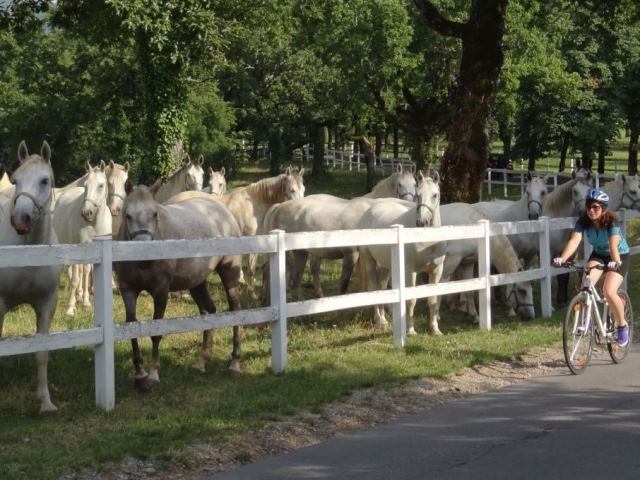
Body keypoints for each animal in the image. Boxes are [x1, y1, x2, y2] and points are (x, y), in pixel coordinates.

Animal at [53, 163, 112, 316]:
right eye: (85, 185)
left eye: (101, 185)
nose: (87, 212)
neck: (94, 223)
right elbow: (75, 279)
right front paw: (70, 308)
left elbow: (87, 273)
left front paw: (86, 302)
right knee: (71, 270)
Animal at [114, 186, 244, 388]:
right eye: (128, 215)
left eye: (154, 214)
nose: (145, 254)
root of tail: (222, 210)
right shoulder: (127, 290)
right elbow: (131, 327)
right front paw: (139, 372)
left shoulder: (161, 292)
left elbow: (156, 333)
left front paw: (153, 374)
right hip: (197, 282)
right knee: (209, 310)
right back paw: (202, 362)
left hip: (229, 273)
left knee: (235, 310)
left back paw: (235, 364)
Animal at [356, 172, 444, 334]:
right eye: (418, 194)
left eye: (435, 195)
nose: (421, 222)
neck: (427, 241)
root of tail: (371, 209)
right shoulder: (411, 271)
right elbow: (411, 301)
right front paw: (410, 330)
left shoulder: (436, 271)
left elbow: (433, 300)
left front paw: (435, 329)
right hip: (369, 260)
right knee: (373, 287)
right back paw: (378, 320)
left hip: (386, 266)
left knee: (382, 288)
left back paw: (384, 320)